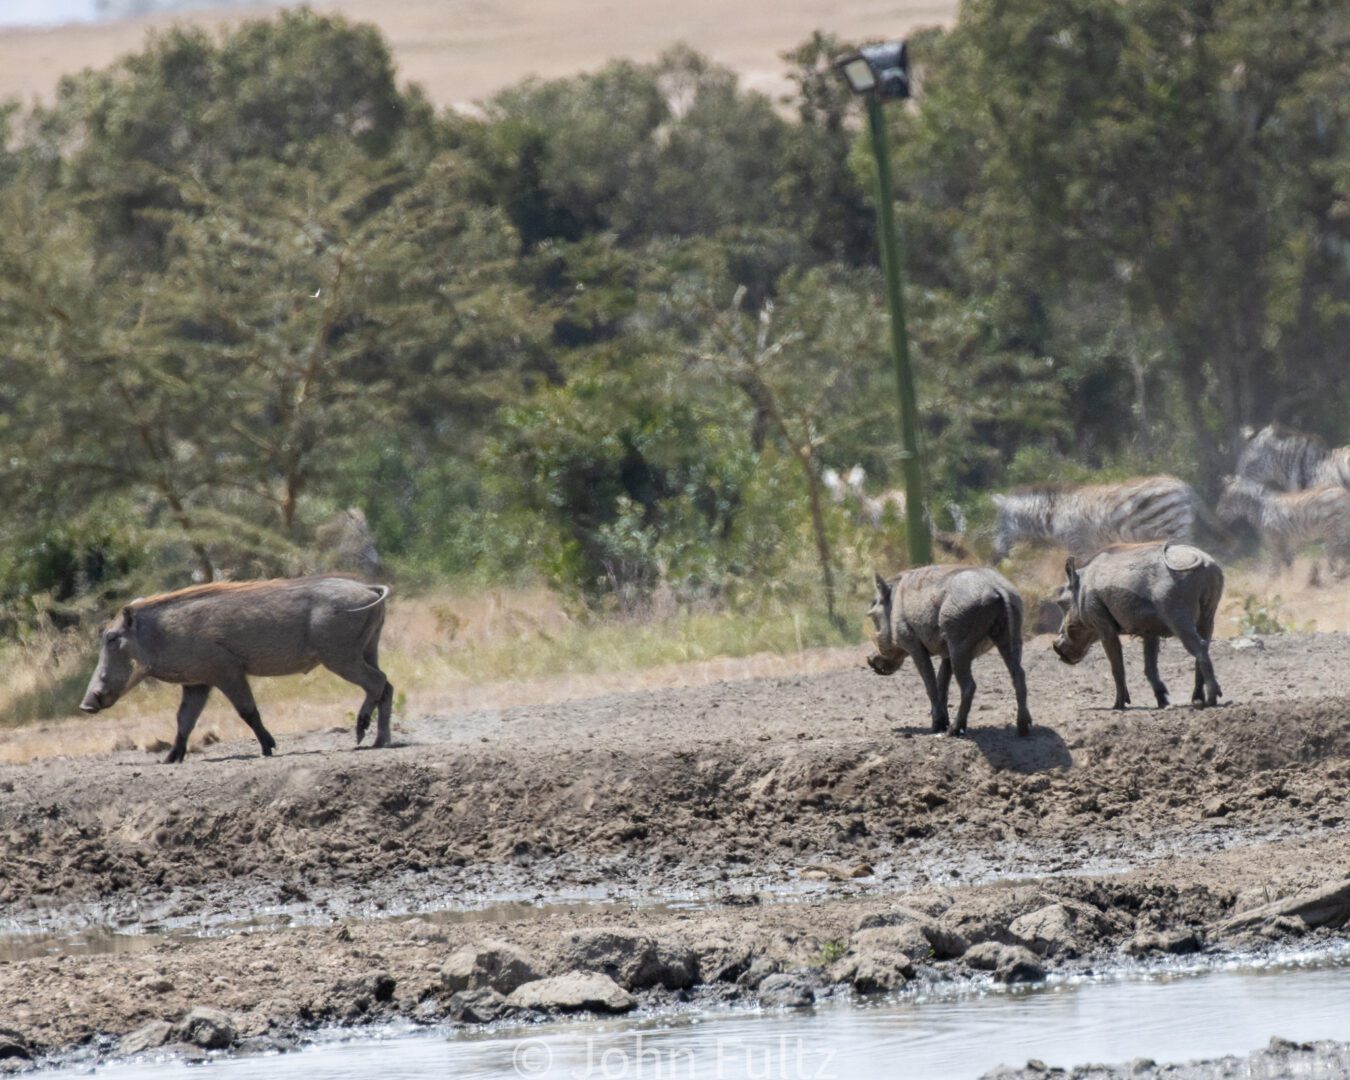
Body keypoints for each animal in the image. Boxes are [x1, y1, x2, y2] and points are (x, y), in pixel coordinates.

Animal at [988, 475, 1198, 561]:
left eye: (1000, 525)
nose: (996, 555)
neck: (1053, 514)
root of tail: (1181, 485)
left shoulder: (1079, 544)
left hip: (1171, 529)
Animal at [1215, 477, 1350, 569]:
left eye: (1224, 500)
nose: (1218, 516)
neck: (1262, 509)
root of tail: (1343, 492)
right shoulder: (1285, 542)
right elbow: (1288, 565)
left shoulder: (1273, 541)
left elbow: (1275, 568)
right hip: (1337, 530)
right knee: (1338, 551)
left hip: (1334, 529)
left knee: (1340, 550)